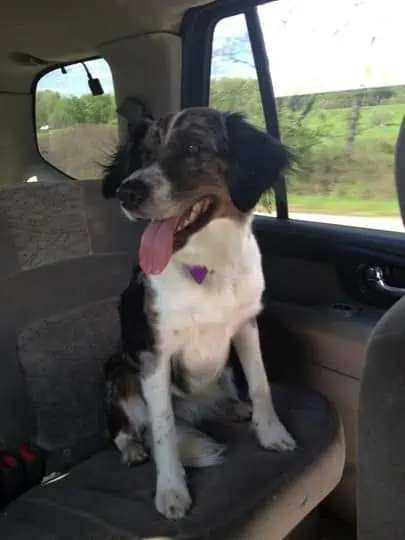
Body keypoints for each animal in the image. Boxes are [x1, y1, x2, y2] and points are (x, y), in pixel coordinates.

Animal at [102, 106, 296, 520]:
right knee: (126, 426)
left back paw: (233, 409)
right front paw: (172, 490)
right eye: (144, 154)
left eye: (192, 148)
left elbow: (261, 384)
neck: (207, 264)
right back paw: (133, 447)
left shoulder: (246, 326)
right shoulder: (153, 356)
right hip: (118, 370)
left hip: (222, 372)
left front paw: (272, 433)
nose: (128, 192)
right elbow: (163, 430)